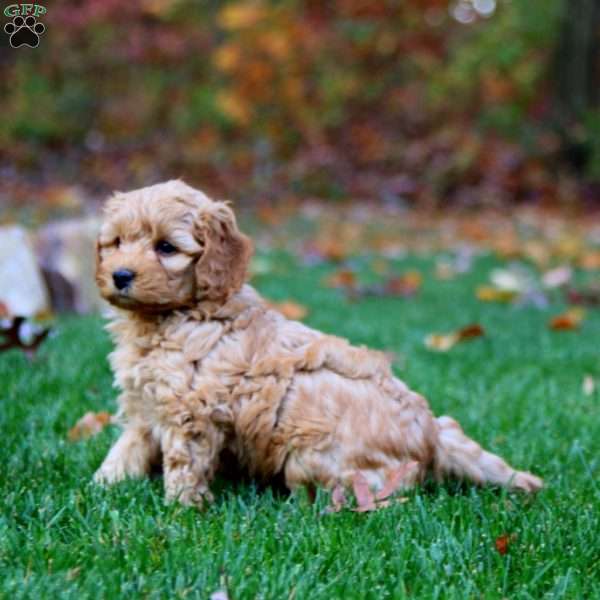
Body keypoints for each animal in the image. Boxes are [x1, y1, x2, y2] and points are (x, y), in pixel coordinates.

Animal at [94, 179, 544, 506]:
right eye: (116, 243)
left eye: (166, 247)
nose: (120, 275)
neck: (173, 316)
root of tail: (434, 435)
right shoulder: (142, 406)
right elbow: (126, 448)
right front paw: (101, 487)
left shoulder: (191, 413)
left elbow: (183, 464)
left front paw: (180, 510)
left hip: (311, 450)